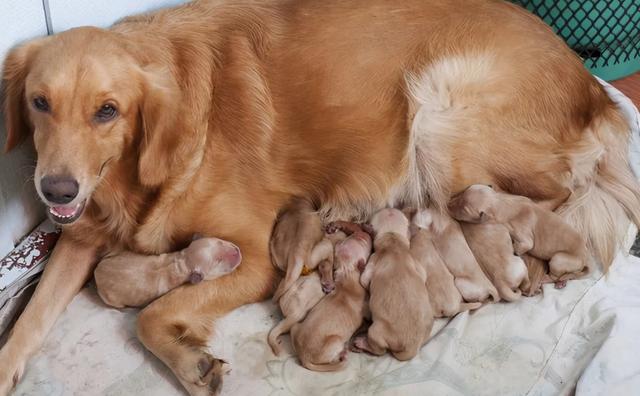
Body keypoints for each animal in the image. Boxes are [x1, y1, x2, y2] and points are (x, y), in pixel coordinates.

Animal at [95, 237, 242, 308]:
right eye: (218, 261)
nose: (237, 251)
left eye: (220, 241)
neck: (183, 262)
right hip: (110, 298)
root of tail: (96, 272)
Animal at [288, 224, 370, 372]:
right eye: (363, 243)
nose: (363, 232)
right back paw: (342, 354)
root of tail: (303, 358)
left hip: (296, 327)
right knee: (333, 358)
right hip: (336, 341)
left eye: (348, 239)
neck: (348, 273)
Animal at [350, 210, 436, 362]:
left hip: (375, 331)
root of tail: (411, 347)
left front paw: (361, 267)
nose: (390, 209)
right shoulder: (416, 262)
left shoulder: (373, 260)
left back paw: (361, 343)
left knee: (379, 350)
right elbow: (423, 275)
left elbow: (364, 281)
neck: (393, 239)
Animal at [450, 186, 592, 282]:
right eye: (462, 192)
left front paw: (516, 251)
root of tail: (585, 259)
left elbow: (522, 246)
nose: (447, 204)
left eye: (463, 210)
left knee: (555, 275)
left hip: (558, 260)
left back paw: (546, 279)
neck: (502, 202)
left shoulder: (525, 238)